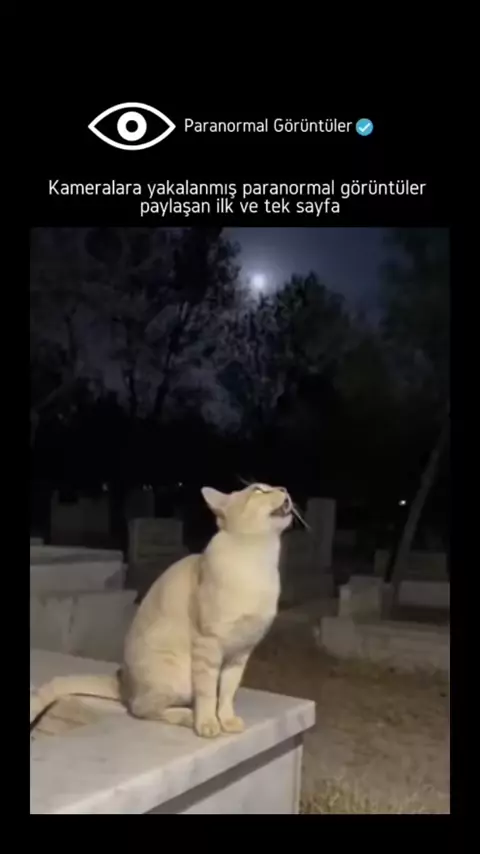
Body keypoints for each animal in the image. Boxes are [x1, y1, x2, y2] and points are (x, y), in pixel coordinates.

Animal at [30, 482, 293, 738]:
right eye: (258, 489)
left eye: (272, 487)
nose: (284, 489)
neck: (259, 561)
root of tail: (123, 682)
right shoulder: (208, 645)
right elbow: (208, 693)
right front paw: (207, 723)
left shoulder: (239, 654)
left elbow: (227, 694)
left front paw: (227, 720)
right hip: (177, 679)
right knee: (140, 708)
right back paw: (188, 716)